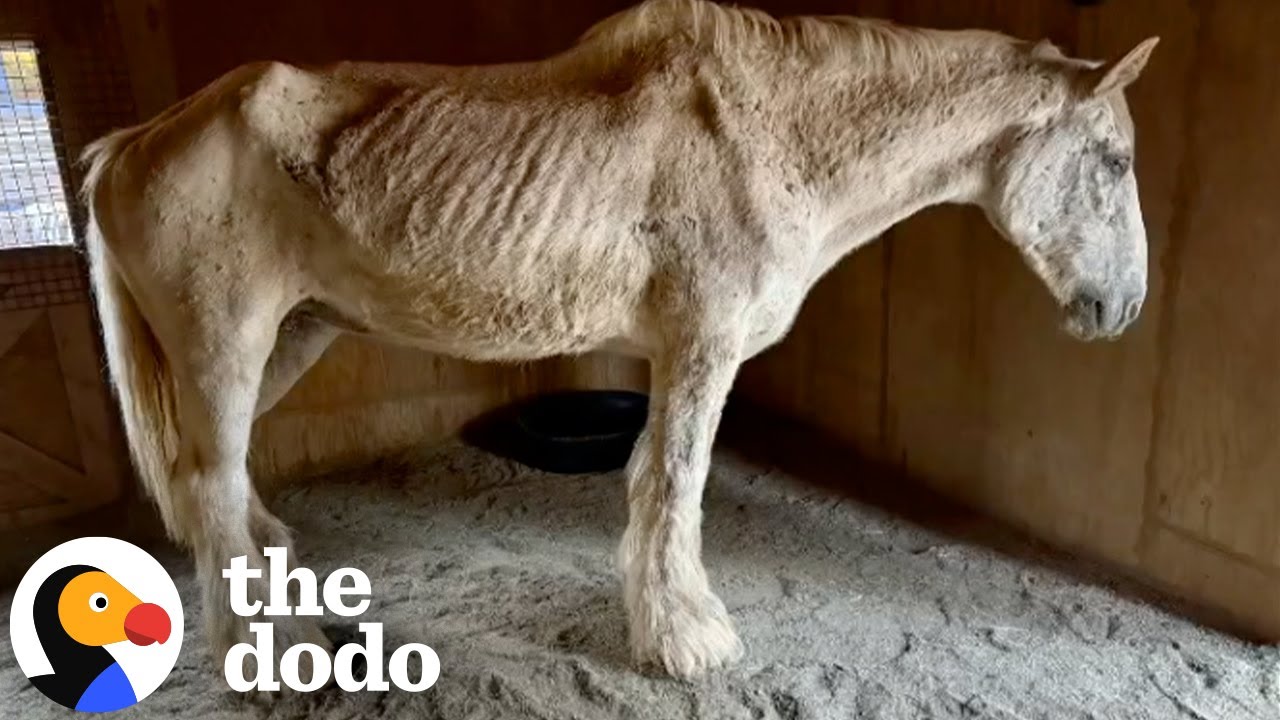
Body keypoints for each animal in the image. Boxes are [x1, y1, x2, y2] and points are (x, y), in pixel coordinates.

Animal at [80, 0, 1156, 680]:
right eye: (1109, 160)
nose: (1126, 309)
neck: (770, 133)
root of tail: (132, 143)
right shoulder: (699, 348)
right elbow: (672, 484)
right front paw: (686, 640)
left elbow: (650, 477)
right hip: (226, 350)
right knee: (208, 485)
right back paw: (257, 661)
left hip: (286, 342)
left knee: (215, 486)